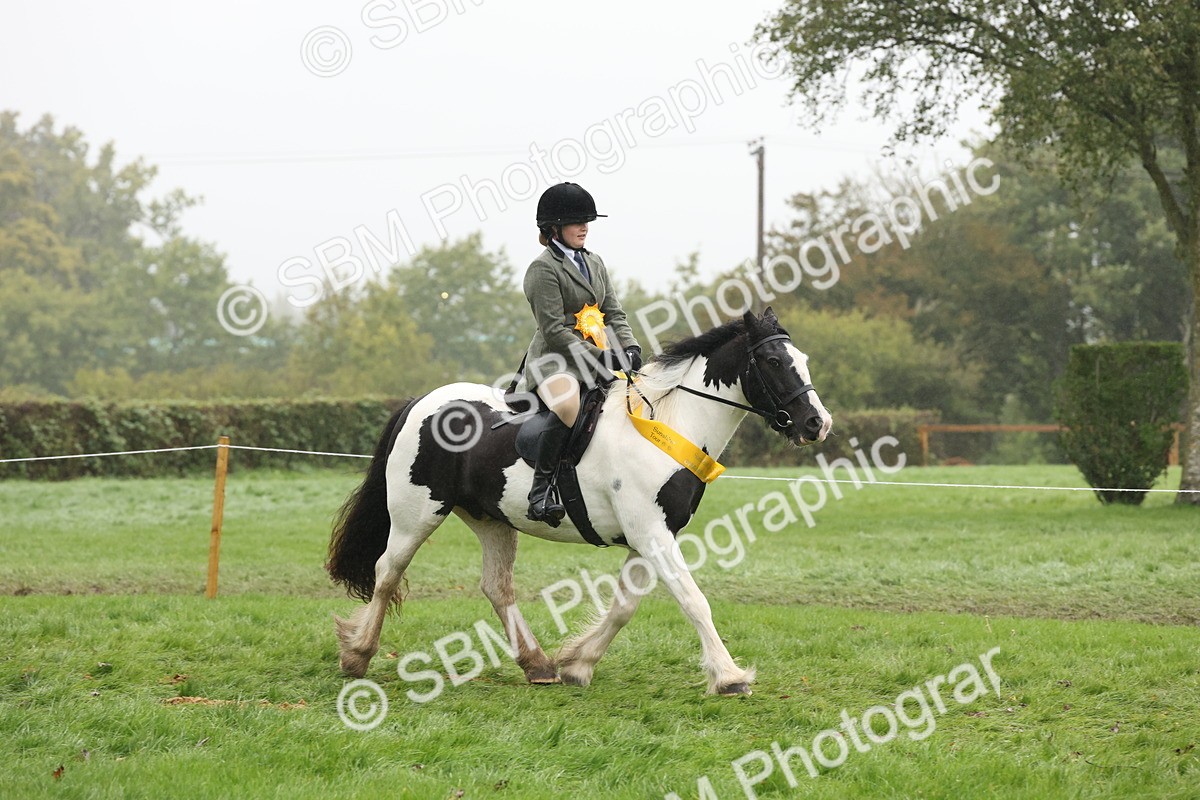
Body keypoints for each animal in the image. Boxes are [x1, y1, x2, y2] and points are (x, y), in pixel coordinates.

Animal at [326, 307, 832, 696]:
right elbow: (694, 601)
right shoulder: (652, 535)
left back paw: (538, 665)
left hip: (490, 519)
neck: (668, 423)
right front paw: (729, 677)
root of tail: (421, 402)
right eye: (772, 360)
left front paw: (577, 664)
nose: (817, 424)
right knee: (388, 571)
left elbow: (625, 607)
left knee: (496, 586)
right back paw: (358, 655)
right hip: (417, 514)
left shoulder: (649, 536)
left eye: (803, 359)